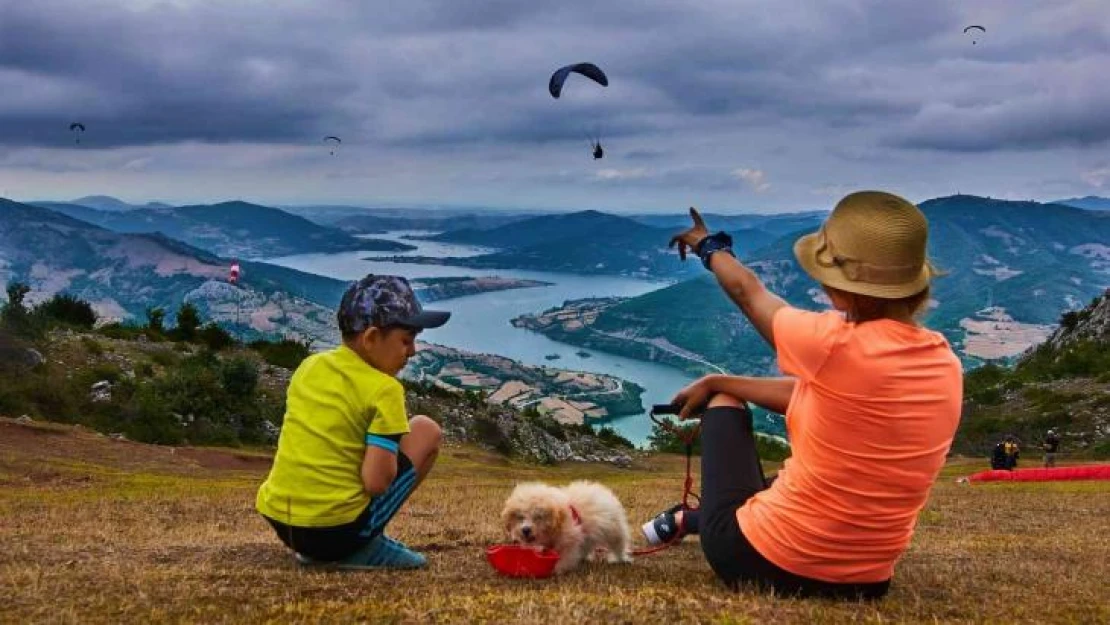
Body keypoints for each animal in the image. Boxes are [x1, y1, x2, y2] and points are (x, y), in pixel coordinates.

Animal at [503, 481, 634, 572]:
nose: (525, 530)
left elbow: (565, 556)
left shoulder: (570, 541)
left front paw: (557, 568)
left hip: (615, 531)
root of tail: (603, 491)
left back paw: (621, 558)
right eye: (520, 517)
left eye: (538, 517)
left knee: (619, 545)